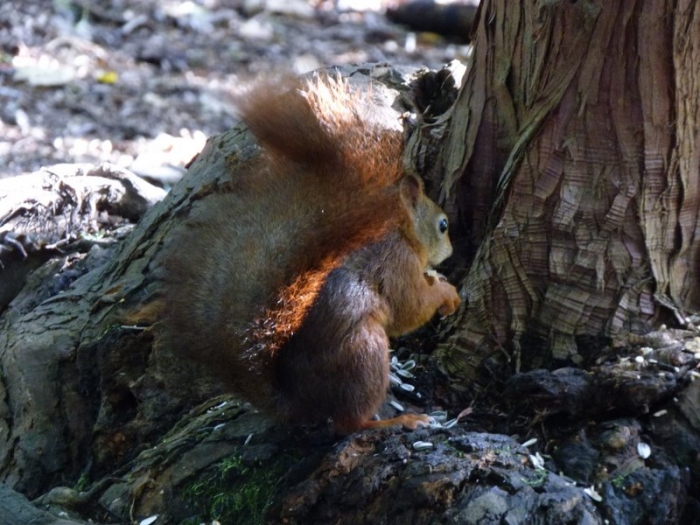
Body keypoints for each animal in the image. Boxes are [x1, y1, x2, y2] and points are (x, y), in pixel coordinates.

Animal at [159, 75, 461, 434]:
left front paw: (437, 277)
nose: (451, 251)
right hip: (365, 351)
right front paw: (446, 292)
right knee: (350, 422)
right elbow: (410, 307)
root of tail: (298, 404)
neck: (401, 232)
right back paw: (399, 420)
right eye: (443, 225)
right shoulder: (395, 263)